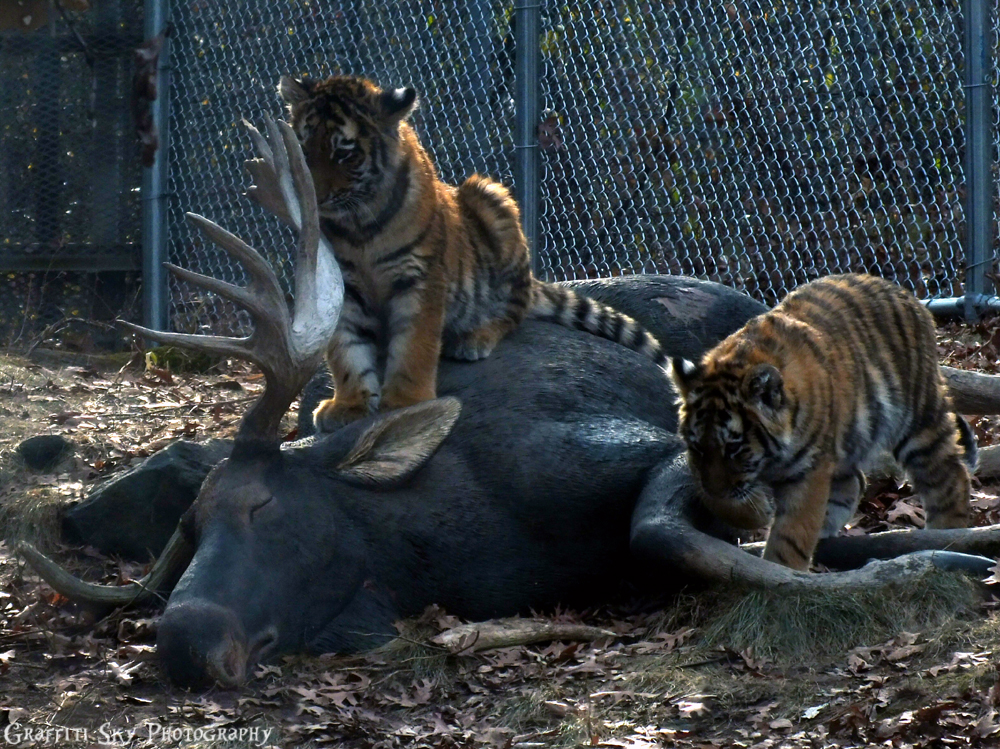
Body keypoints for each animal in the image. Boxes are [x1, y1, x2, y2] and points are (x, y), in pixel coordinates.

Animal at [279, 74, 666, 431]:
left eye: (344, 153)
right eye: (303, 148)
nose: (313, 196)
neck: (358, 225)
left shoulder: (420, 277)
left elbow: (413, 347)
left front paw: (405, 403)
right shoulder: (344, 284)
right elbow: (346, 349)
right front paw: (350, 404)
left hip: (492, 199)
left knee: (514, 311)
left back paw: (473, 338)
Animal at [668, 273, 977, 571]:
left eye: (734, 448)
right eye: (698, 448)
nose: (717, 488)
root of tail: (905, 294)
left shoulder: (808, 472)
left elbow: (791, 534)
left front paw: (782, 570)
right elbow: (717, 498)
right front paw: (751, 512)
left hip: (917, 420)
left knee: (950, 475)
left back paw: (947, 536)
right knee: (854, 481)